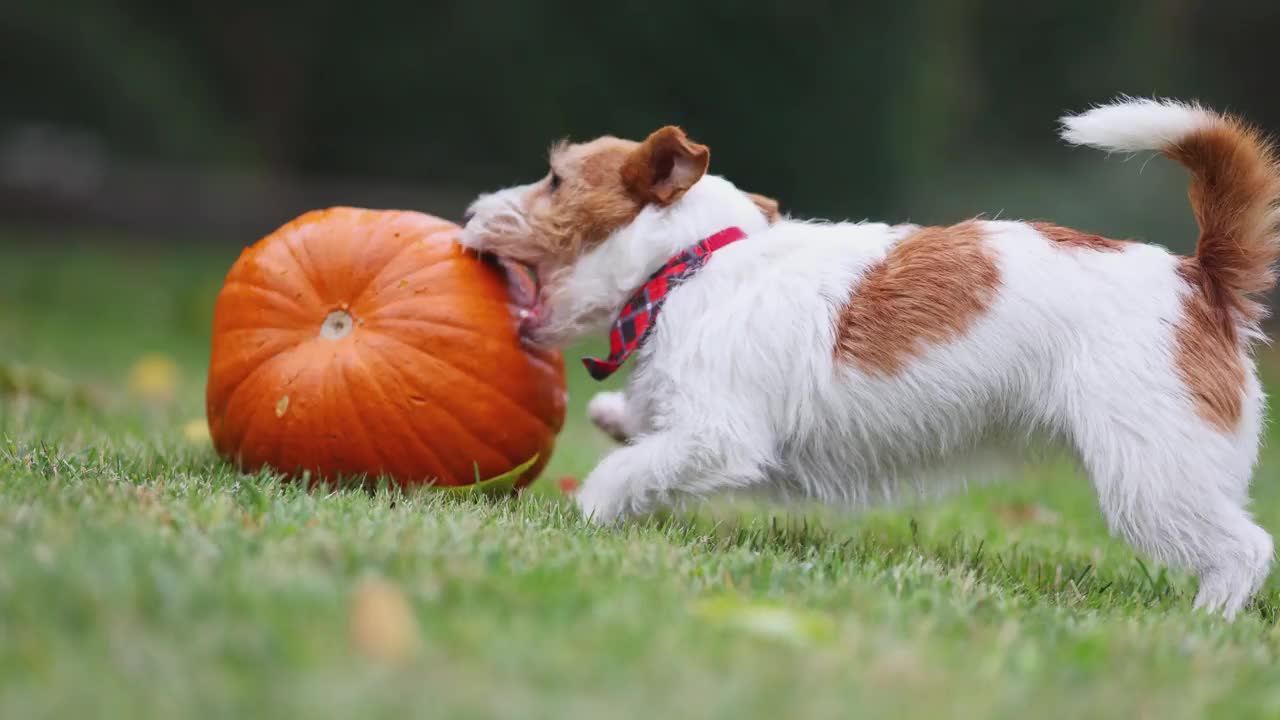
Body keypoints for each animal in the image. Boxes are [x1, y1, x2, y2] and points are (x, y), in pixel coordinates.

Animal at [463, 98, 1280, 614]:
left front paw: (587, 518)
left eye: (555, 180)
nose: (471, 211)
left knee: (1245, 548)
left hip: (1154, 475)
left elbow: (626, 471)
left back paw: (1203, 624)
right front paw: (614, 414)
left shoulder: (719, 437)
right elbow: (640, 432)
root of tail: (1201, 280)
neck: (696, 259)